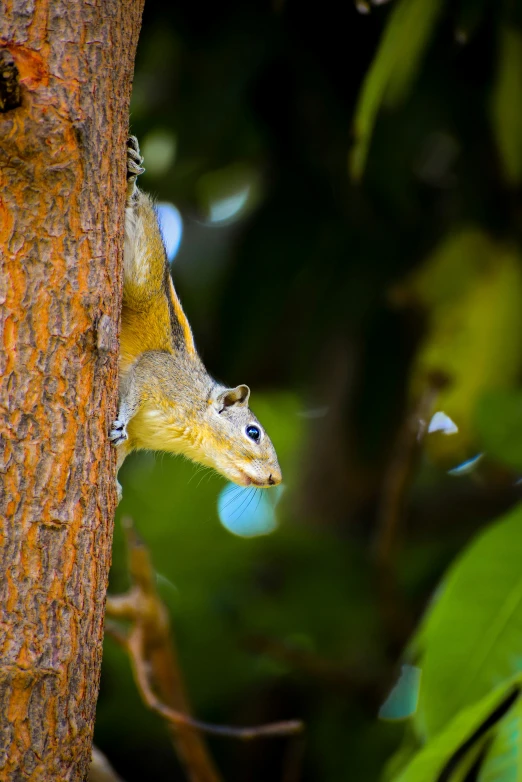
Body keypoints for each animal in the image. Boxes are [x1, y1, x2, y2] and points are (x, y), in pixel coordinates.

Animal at [107, 138, 282, 496]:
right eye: (253, 432)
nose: (276, 478)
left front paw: (115, 487)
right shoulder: (157, 373)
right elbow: (135, 390)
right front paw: (121, 421)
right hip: (146, 269)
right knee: (138, 209)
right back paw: (131, 178)